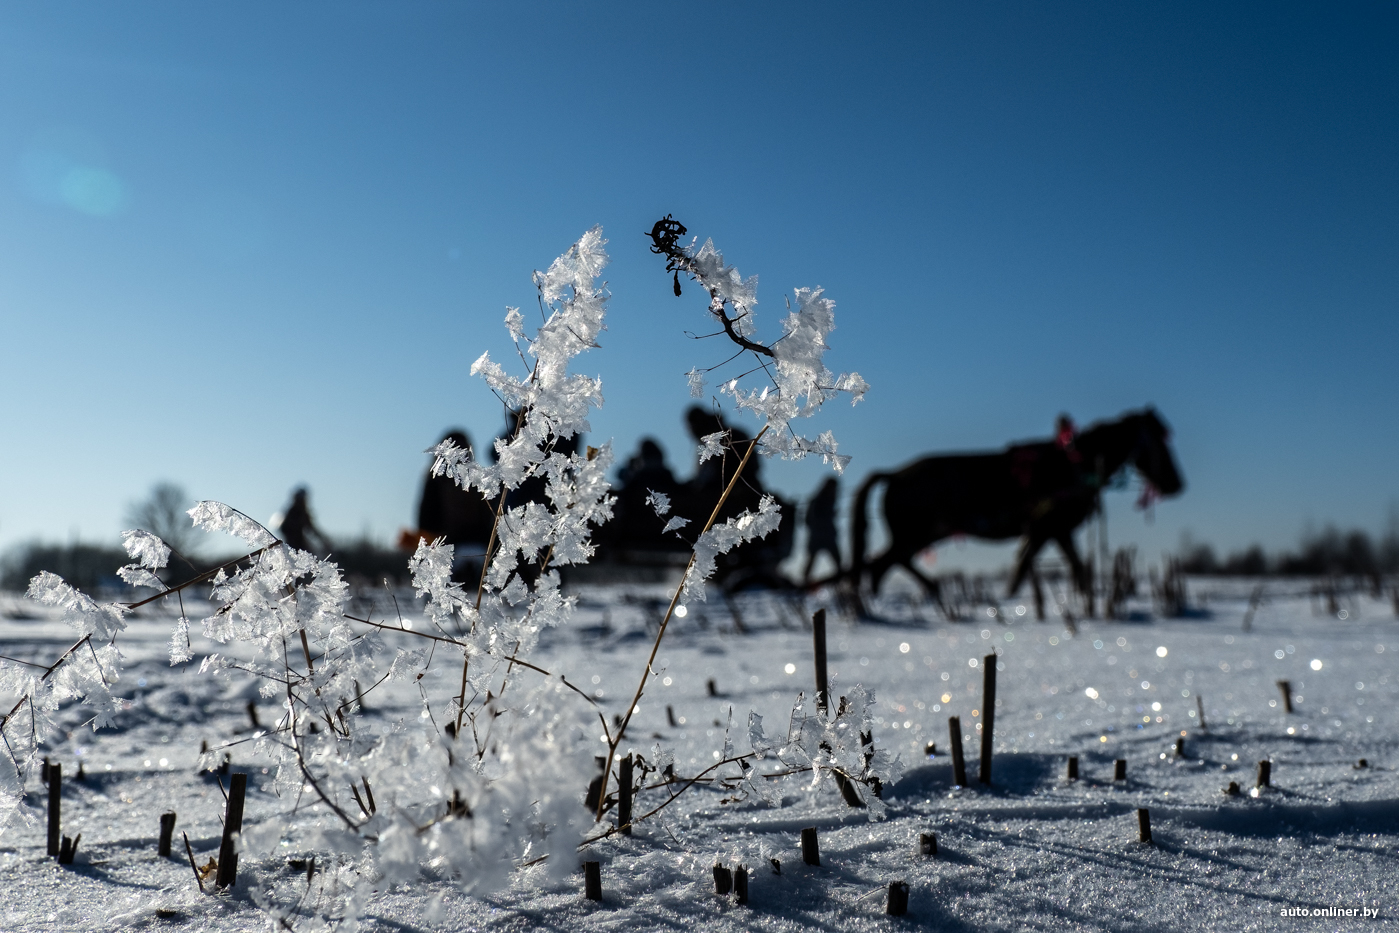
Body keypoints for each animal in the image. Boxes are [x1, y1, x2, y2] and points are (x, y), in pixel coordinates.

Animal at [844, 405, 1186, 607]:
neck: (1072, 465)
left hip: (919, 536)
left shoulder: (1055, 532)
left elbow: (1064, 567)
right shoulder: (1047, 528)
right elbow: (1027, 568)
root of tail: (894, 473)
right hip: (914, 534)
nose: (1177, 483)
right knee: (881, 564)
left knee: (887, 563)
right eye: (1159, 441)